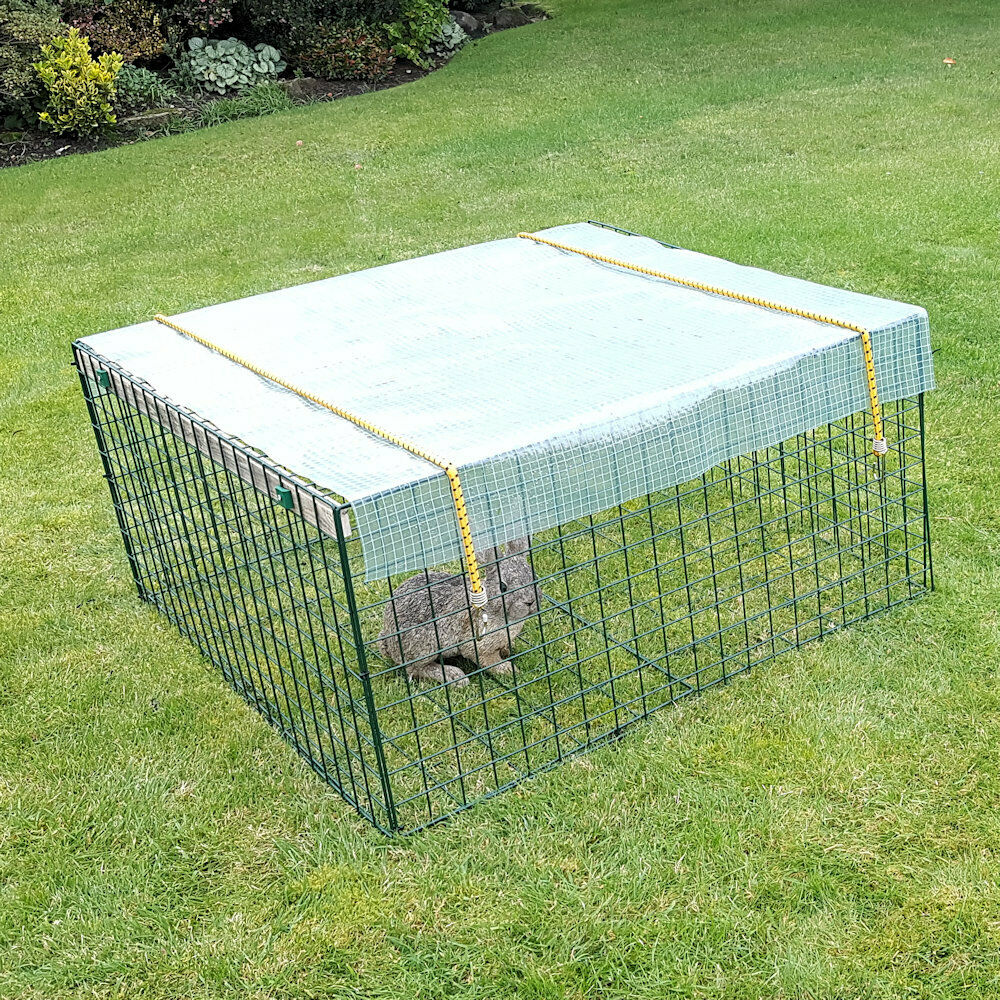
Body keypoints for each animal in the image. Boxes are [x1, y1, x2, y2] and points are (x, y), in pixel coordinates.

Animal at [378, 538, 540, 688]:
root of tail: (389, 641)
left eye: (534, 576)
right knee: (416, 669)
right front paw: (509, 669)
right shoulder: (479, 645)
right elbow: (489, 661)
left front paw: (508, 650)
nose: (530, 601)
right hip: (424, 648)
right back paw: (456, 677)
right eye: (503, 587)